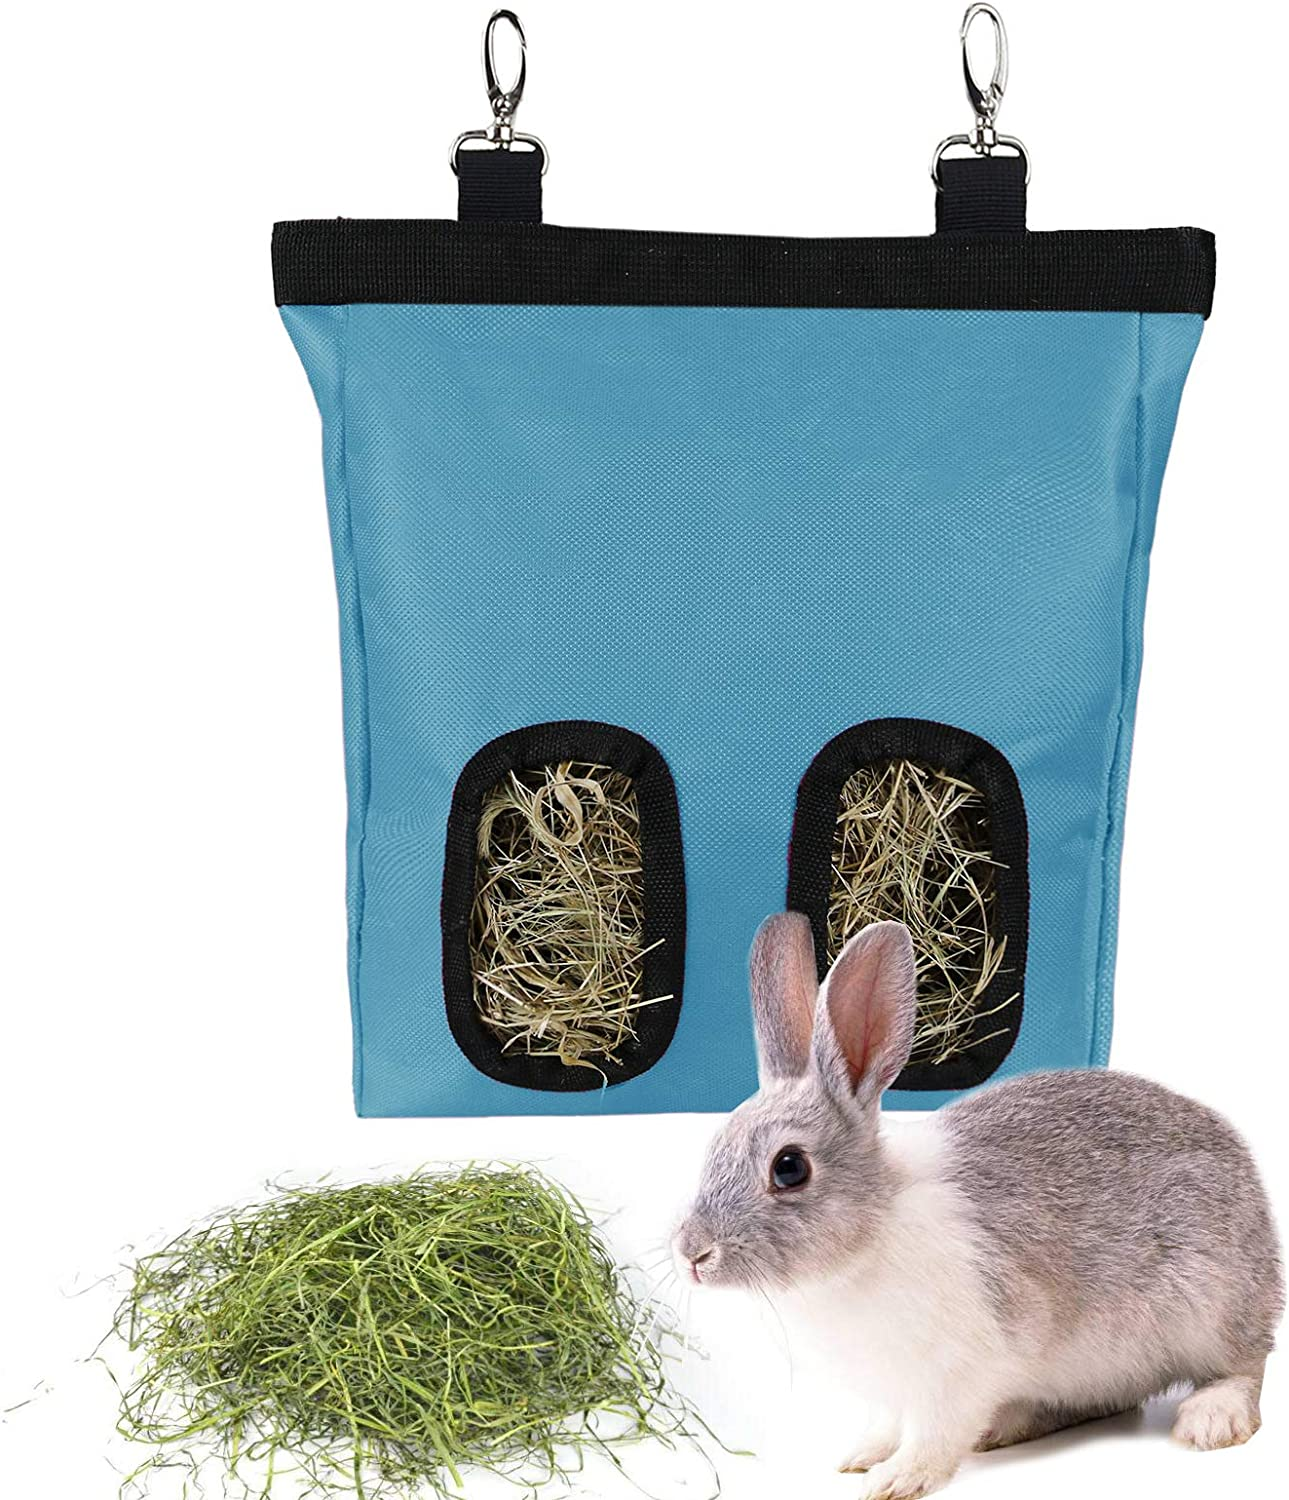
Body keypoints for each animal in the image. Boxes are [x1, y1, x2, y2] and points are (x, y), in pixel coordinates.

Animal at [672, 913, 1283, 1499]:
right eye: (714, 1146)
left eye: (789, 1168)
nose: (691, 1254)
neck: (870, 1234)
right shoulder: (892, 1391)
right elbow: (887, 1424)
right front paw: (861, 1457)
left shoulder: (957, 1372)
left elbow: (934, 1435)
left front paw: (897, 1480)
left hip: (1210, 1307)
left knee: (1246, 1366)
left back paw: (1210, 1420)